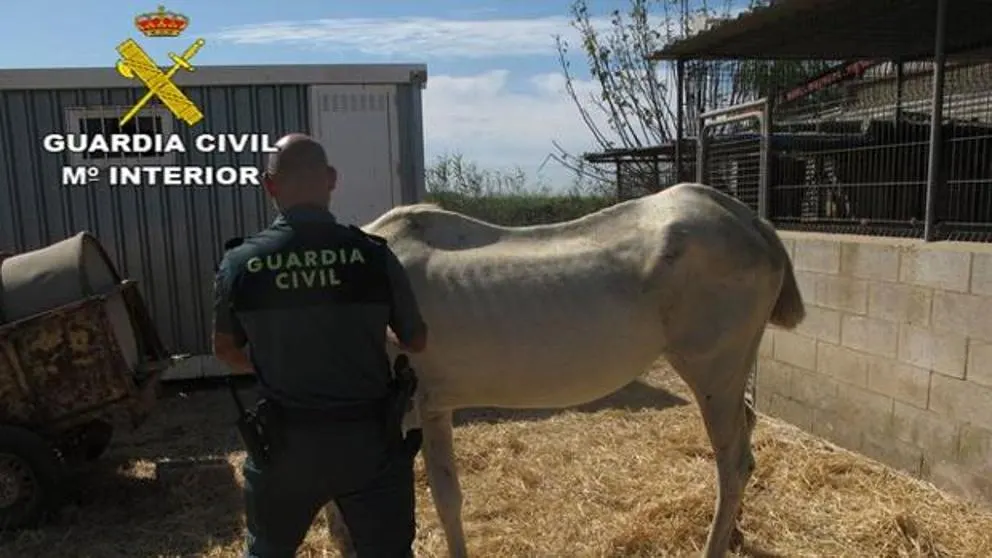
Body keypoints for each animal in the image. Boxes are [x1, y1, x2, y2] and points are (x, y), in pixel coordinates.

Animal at [326, 184, 808, 558]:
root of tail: (748, 219)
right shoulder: (431, 408)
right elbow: (446, 498)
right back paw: (736, 534)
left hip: (713, 372)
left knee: (733, 463)